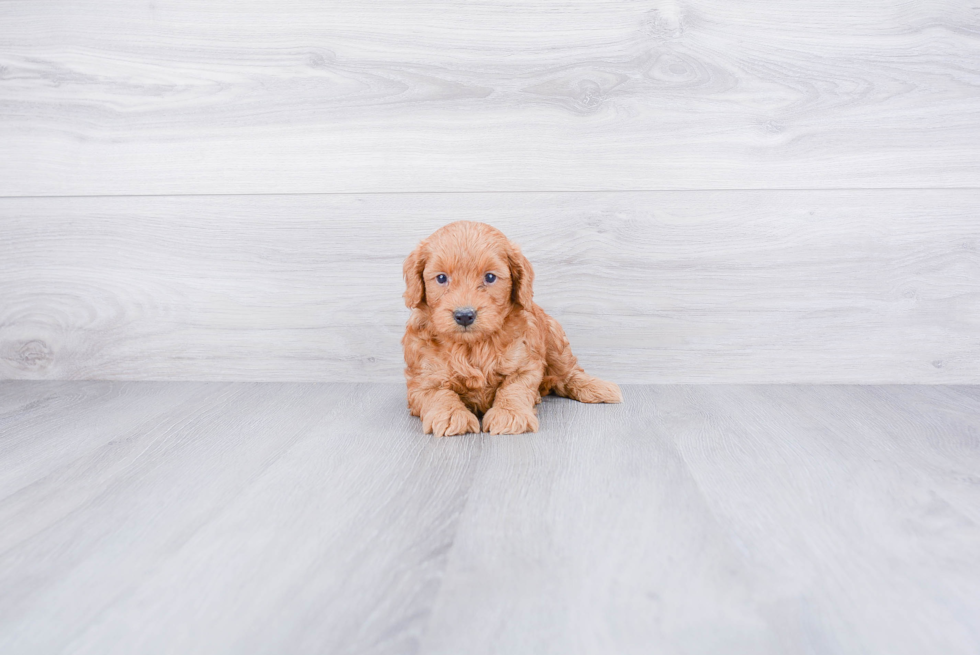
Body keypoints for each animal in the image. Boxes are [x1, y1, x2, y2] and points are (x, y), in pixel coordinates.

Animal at [400, 220, 620, 436]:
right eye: (441, 278)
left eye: (490, 277)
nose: (464, 316)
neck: (473, 346)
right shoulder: (423, 377)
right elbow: (438, 393)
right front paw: (451, 415)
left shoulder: (525, 363)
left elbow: (514, 388)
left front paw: (509, 414)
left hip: (554, 337)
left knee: (568, 373)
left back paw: (598, 387)